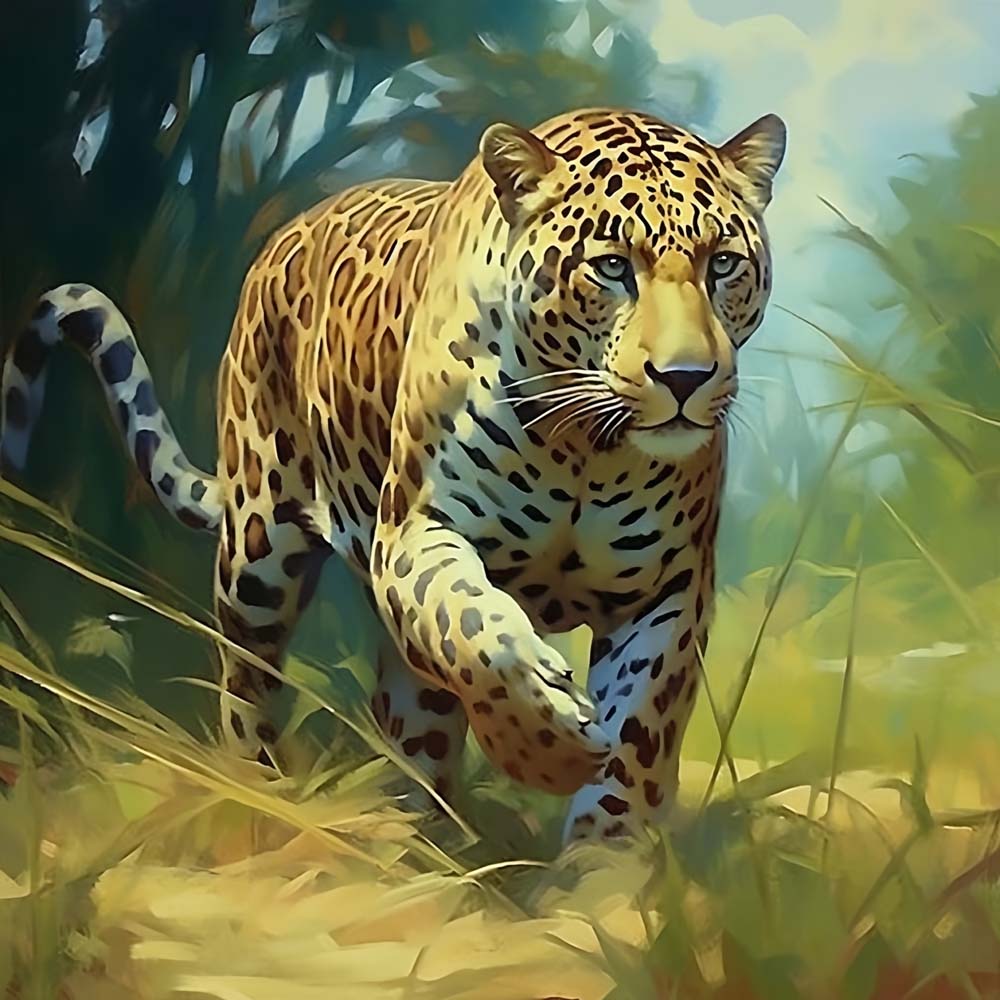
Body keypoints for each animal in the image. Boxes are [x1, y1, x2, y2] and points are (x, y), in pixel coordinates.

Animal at [1, 106, 785, 842]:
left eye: (722, 264)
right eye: (614, 267)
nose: (685, 378)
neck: (583, 448)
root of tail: (285, 235)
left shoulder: (669, 588)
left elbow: (636, 739)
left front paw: (603, 865)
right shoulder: (413, 532)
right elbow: (473, 628)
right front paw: (544, 751)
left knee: (411, 720)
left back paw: (419, 842)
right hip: (258, 548)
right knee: (245, 677)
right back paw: (258, 795)